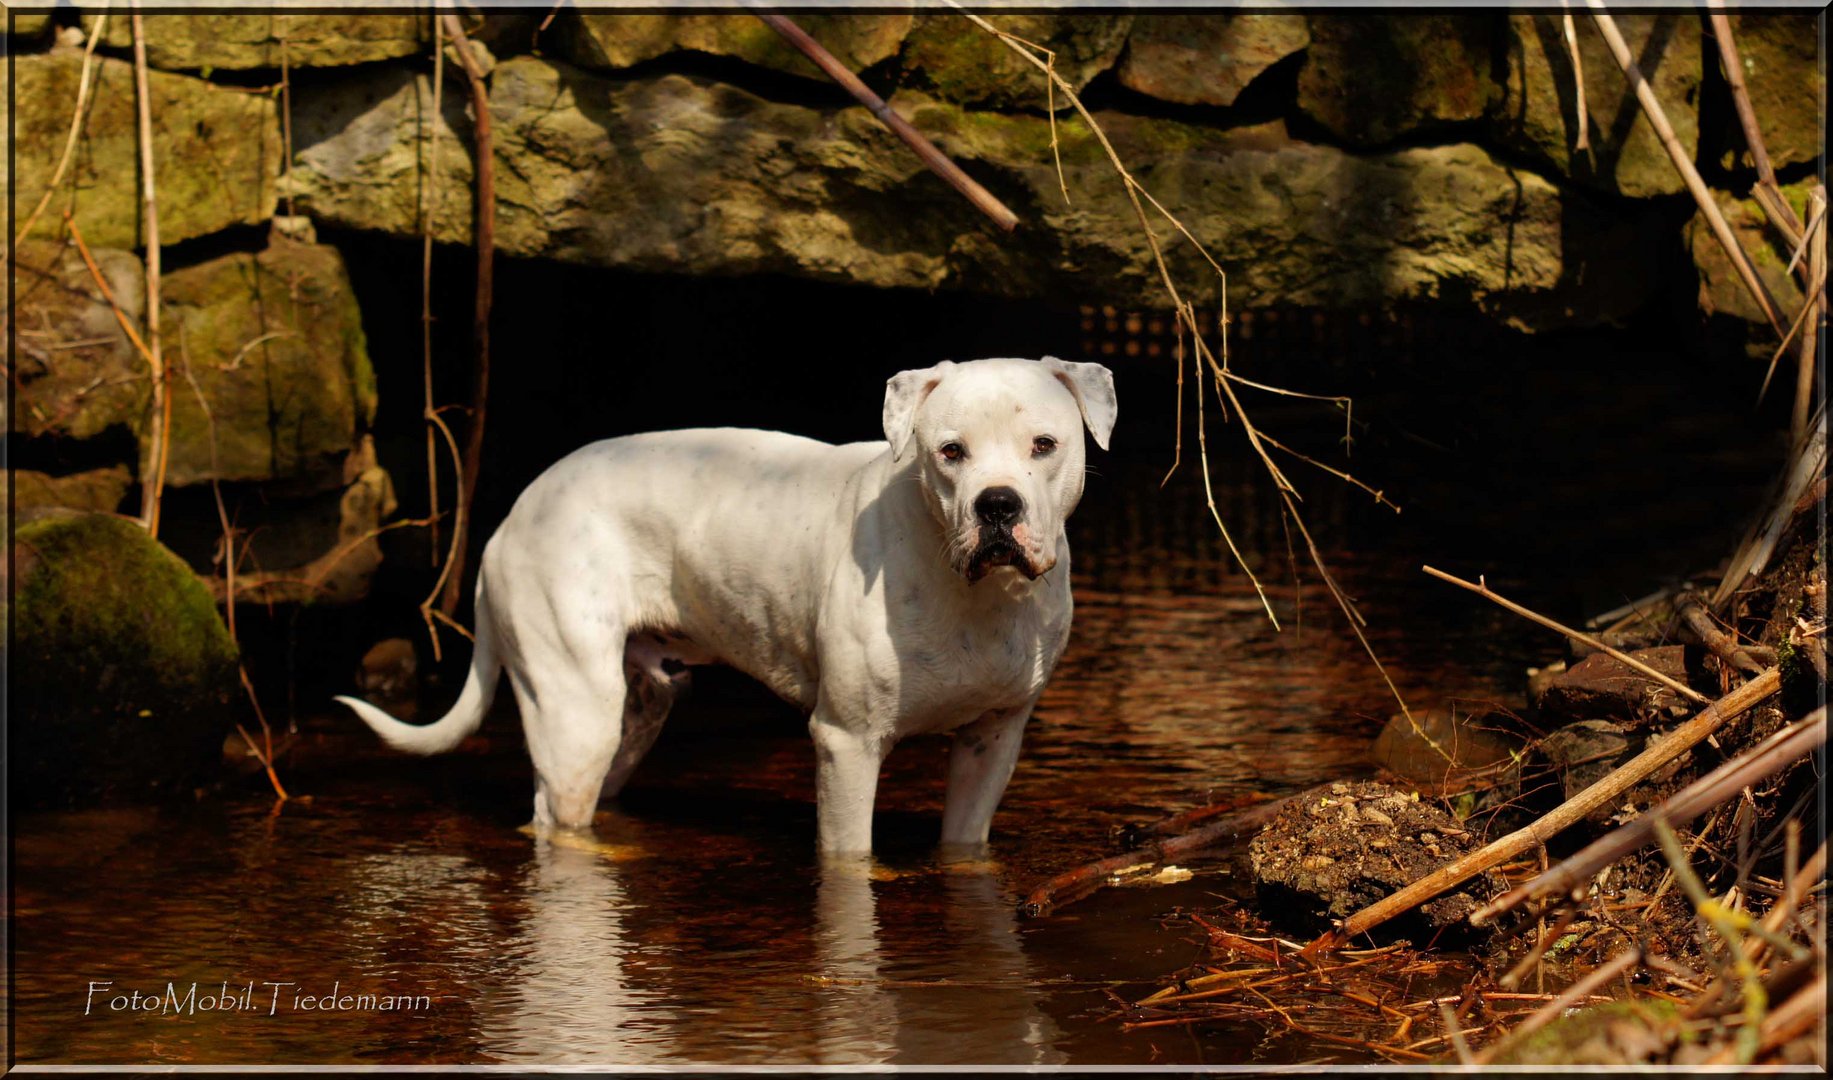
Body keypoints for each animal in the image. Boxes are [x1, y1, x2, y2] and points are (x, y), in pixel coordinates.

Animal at [340, 353, 1114, 850]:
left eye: (1044, 445)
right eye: (950, 451)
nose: (997, 504)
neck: (977, 595)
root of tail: (512, 515)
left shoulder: (992, 743)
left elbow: (964, 847)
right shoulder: (846, 744)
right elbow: (850, 863)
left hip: (639, 711)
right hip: (574, 713)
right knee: (555, 815)